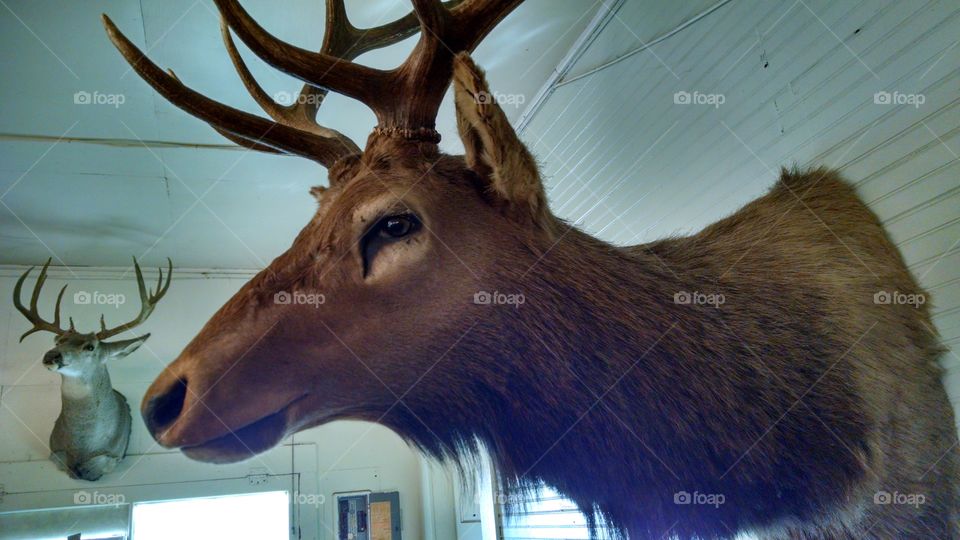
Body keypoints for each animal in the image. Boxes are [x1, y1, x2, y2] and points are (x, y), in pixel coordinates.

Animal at [13, 259, 171, 481]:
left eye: (90, 347)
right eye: (58, 341)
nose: (51, 355)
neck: (82, 446)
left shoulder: (113, 455)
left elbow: (98, 464)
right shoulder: (55, 451)